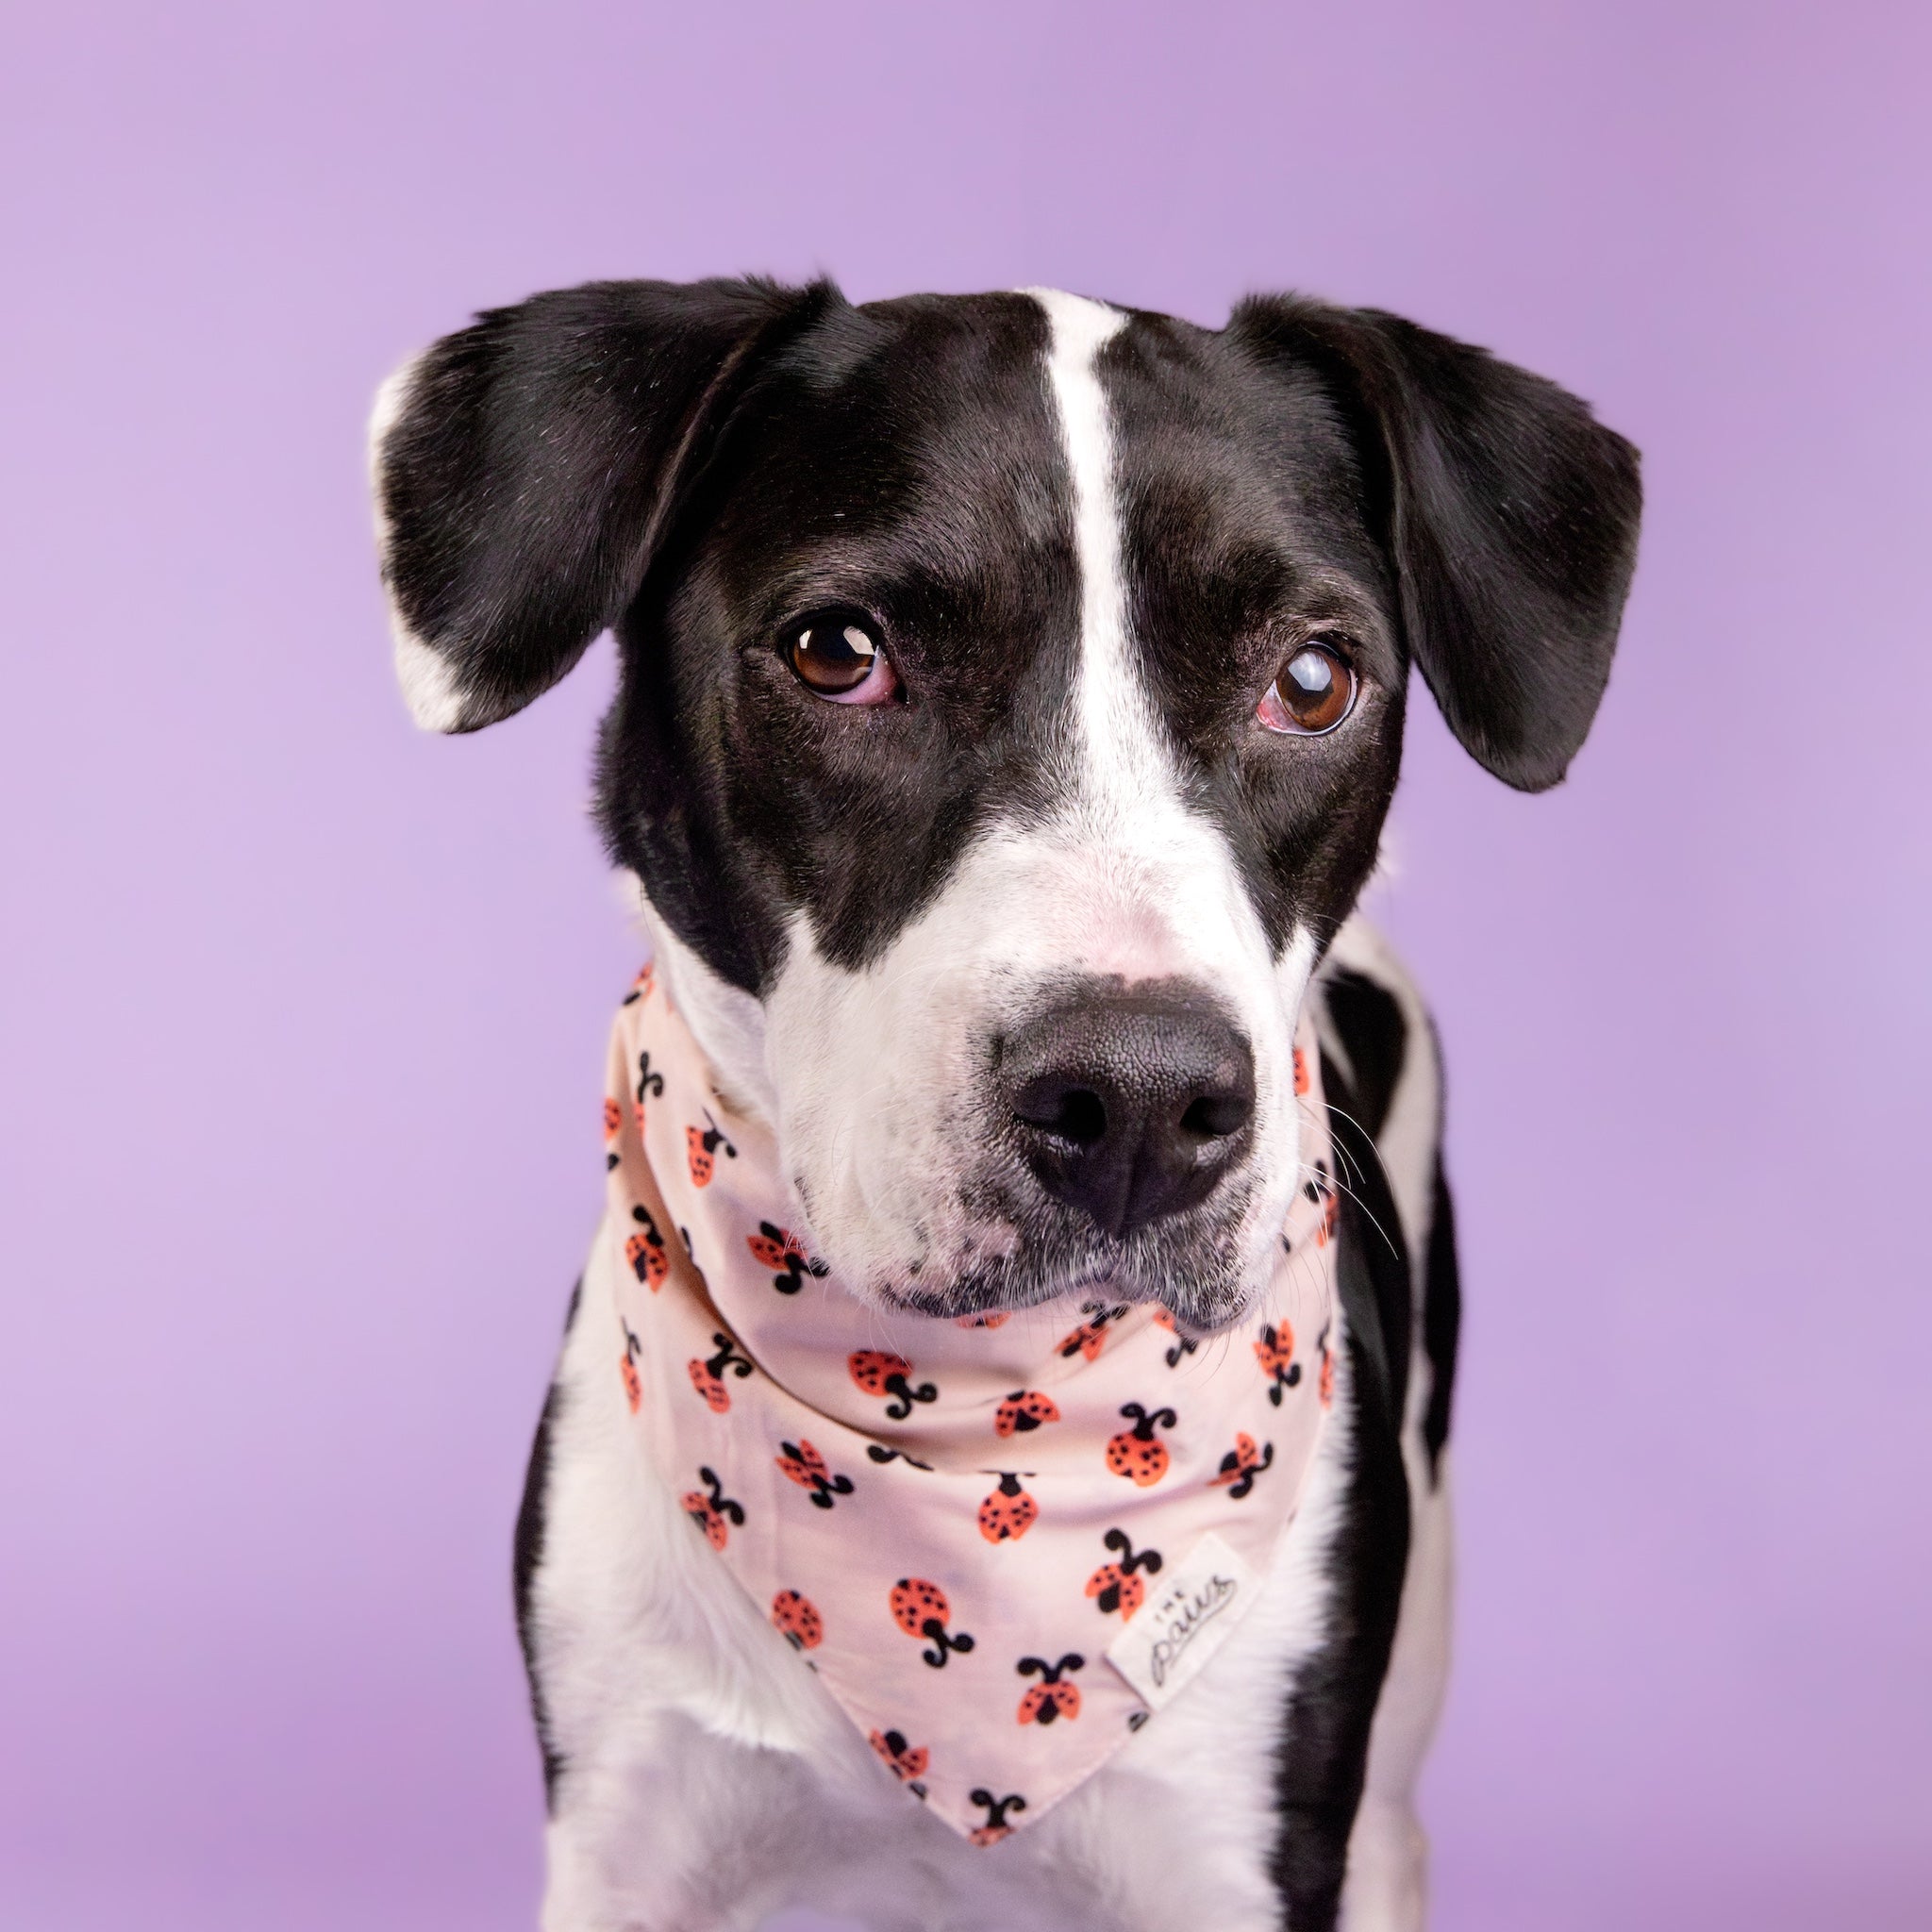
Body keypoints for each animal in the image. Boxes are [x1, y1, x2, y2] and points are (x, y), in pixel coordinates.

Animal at [369, 275, 1638, 1932]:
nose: (1143, 1100)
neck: (973, 1440)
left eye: (1312, 679)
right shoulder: (630, 1840)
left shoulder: (1240, 1856)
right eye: (836, 650)